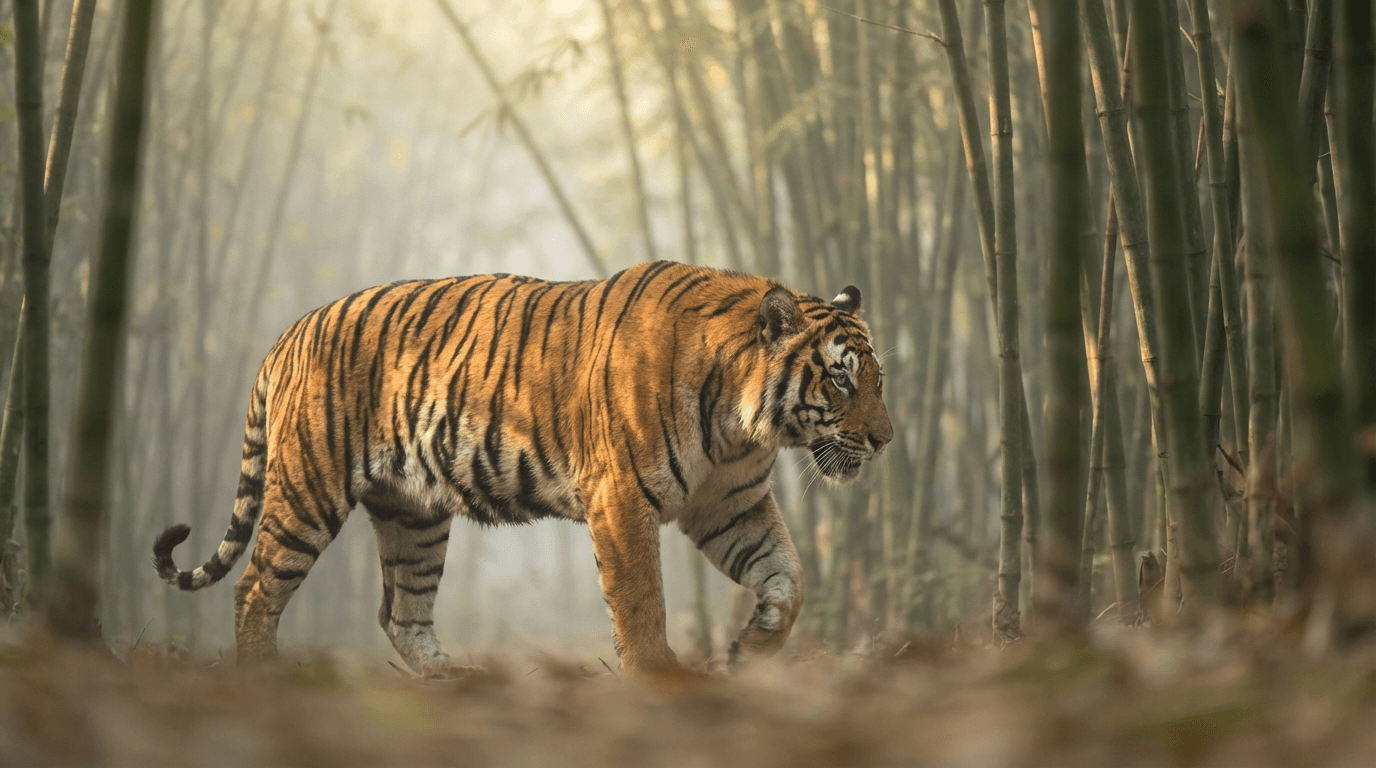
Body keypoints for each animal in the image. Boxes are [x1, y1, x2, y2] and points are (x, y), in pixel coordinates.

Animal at [152, 260, 891, 678]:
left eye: (879, 379)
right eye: (842, 380)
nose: (885, 439)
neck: (743, 425)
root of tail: (290, 332)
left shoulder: (729, 504)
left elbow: (789, 578)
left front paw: (754, 647)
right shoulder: (621, 499)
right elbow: (641, 600)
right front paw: (661, 677)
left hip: (413, 514)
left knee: (401, 612)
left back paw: (458, 679)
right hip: (308, 491)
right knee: (254, 589)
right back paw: (265, 677)